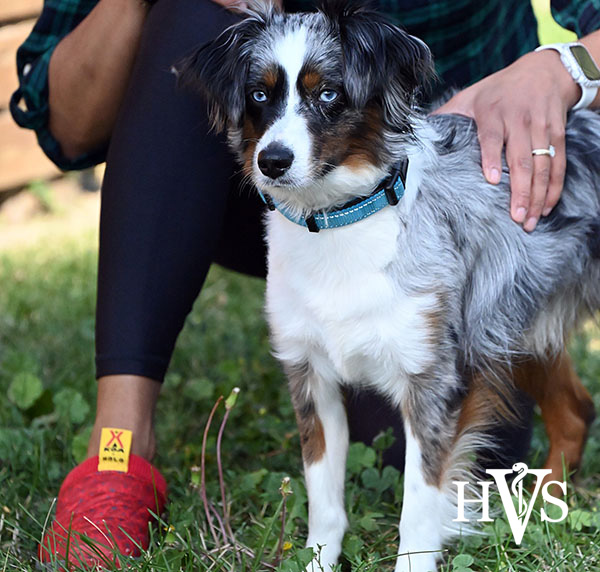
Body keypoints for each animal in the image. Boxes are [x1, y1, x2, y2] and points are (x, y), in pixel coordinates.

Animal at [177, 2, 596, 568]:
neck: (338, 221)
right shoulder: (311, 378)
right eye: (259, 95)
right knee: (574, 413)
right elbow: (323, 497)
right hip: (514, 327)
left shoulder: (434, 383)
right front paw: (318, 559)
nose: (272, 161)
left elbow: (418, 508)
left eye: (327, 94)